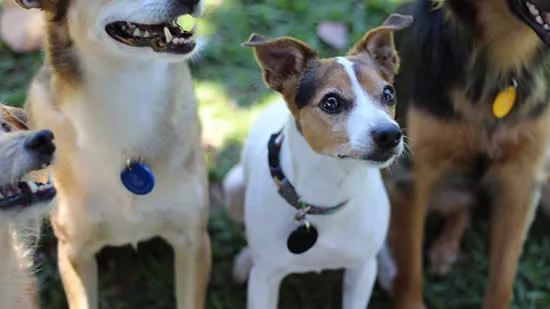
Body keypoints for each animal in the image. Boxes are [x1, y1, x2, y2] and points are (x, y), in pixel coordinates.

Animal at [224, 13, 414, 308]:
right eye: (331, 102)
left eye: (388, 94)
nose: (390, 134)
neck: (331, 186)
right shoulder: (264, 280)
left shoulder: (360, 272)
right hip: (232, 187)